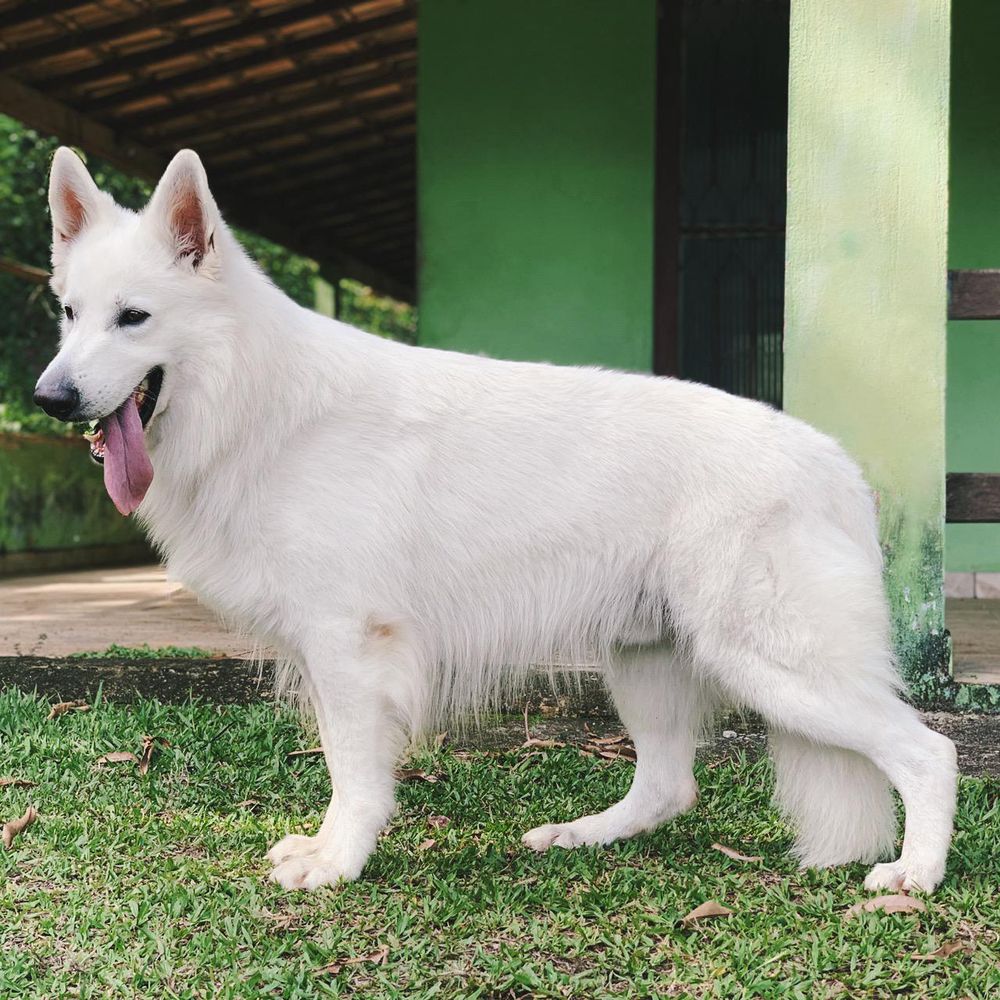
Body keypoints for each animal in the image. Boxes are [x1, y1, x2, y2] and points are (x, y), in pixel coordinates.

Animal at [35, 146, 956, 892]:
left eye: (134, 317)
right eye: (69, 314)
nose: (50, 398)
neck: (258, 400)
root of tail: (837, 466)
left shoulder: (348, 648)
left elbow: (354, 775)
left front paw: (339, 863)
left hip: (773, 666)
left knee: (929, 753)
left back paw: (915, 875)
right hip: (646, 661)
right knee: (669, 787)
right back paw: (583, 837)